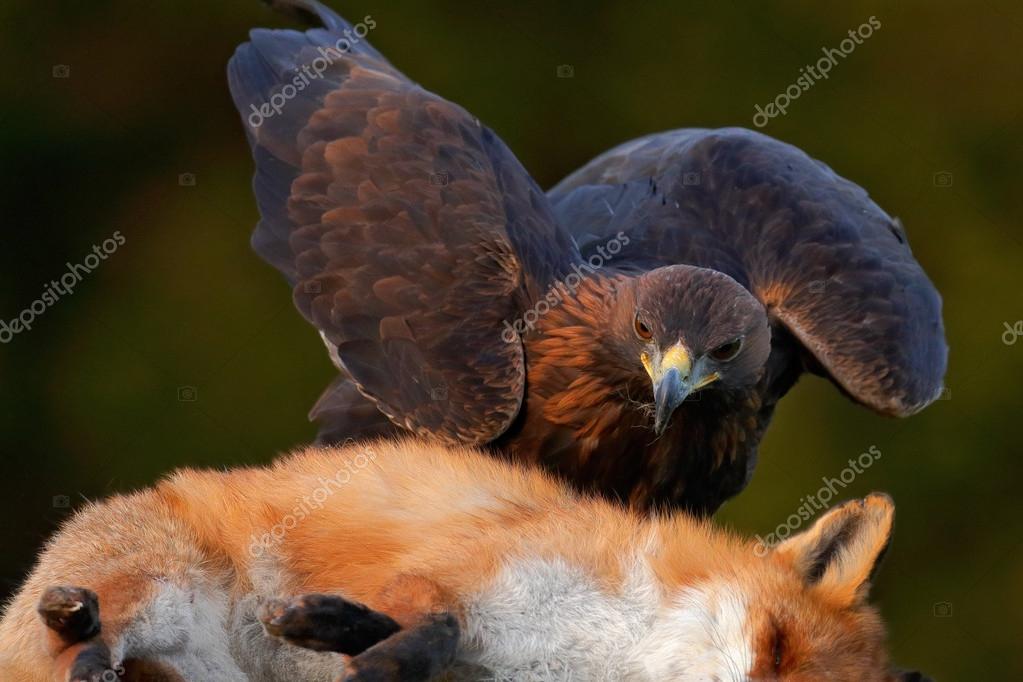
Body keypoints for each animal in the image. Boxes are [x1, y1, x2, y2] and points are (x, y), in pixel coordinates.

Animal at [0, 438, 925, 682]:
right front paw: (352, 636)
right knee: (78, 630)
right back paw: (80, 635)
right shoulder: (463, 563)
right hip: (153, 588)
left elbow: (429, 642)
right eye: (774, 646)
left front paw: (356, 641)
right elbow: (437, 620)